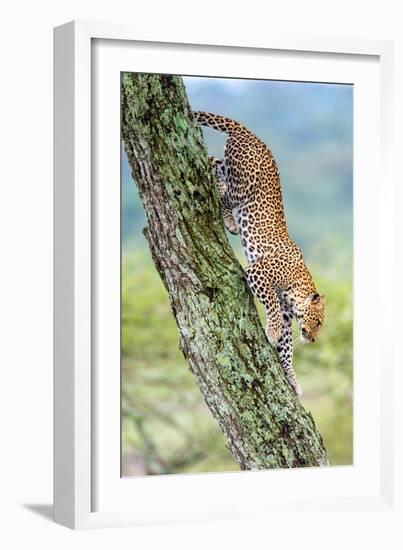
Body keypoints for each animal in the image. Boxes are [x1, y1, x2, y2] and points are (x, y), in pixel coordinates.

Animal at [194, 111, 326, 396]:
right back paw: (230, 222)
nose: (312, 339)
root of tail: (252, 135)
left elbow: (287, 348)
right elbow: (273, 306)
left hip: (230, 166)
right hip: (244, 184)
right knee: (223, 190)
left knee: (213, 162)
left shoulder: (288, 315)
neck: (298, 286)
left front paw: (292, 378)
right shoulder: (258, 273)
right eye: (320, 322)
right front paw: (272, 332)